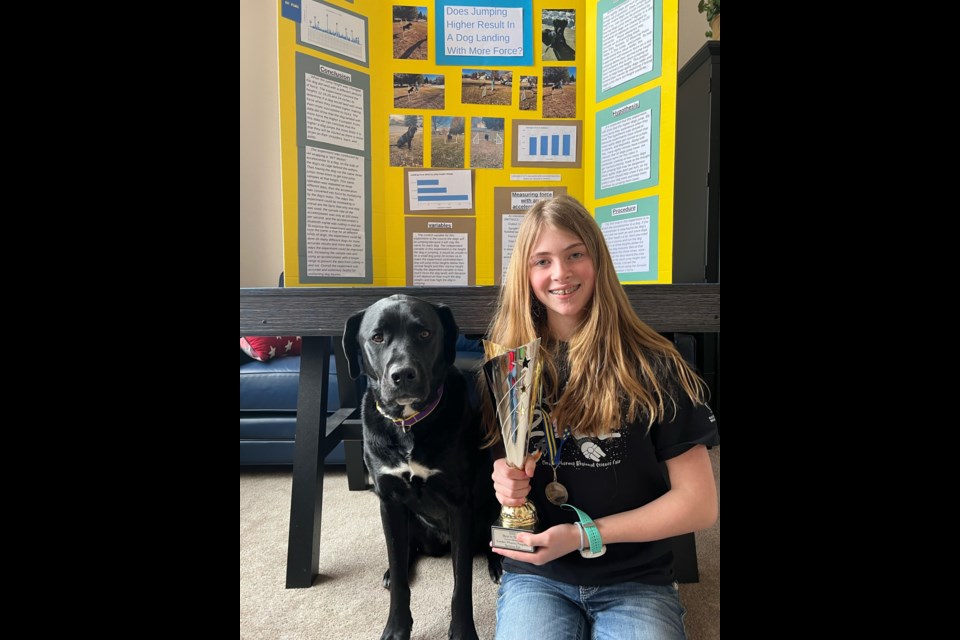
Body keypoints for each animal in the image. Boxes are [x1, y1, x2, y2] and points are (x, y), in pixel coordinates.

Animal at [342, 296, 498, 640]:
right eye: (377, 337)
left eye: (425, 333)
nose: (403, 374)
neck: (408, 424)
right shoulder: (389, 502)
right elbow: (401, 577)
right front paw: (397, 628)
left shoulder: (458, 505)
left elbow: (461, 582)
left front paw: (463, 631)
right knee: (405, 550)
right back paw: (391, 570)